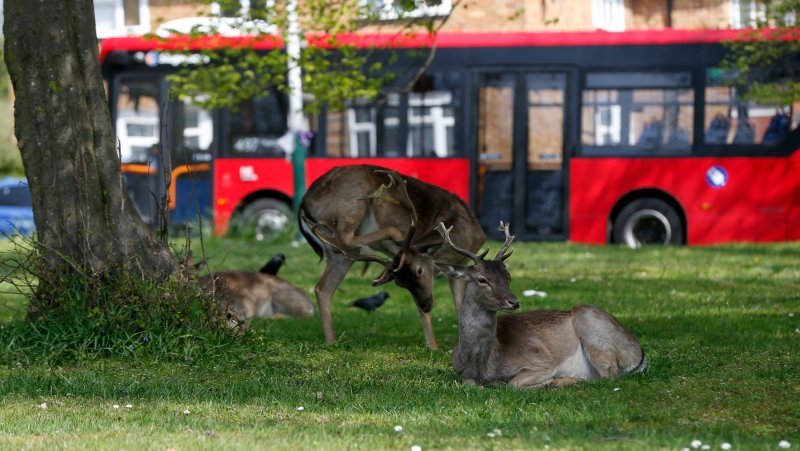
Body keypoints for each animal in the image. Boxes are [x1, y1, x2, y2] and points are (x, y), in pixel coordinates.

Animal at [300, 166, 484, 350]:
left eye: (420, 271)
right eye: (400, 283)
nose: (426, 305)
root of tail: (303, 203)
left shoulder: (460, 264)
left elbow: (459, 306)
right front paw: (432, 346)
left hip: (338, 252)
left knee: (323, 287)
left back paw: (331, 341)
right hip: (353, 200)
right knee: (346, 238)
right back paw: (394, 233)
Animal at [434, 222, 648, 388]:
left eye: (508, 277)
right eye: (482, 279)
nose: (514, 302)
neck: (481, 366)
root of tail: (640, 354)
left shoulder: (542, 360)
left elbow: (513, 384)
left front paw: (545, 381)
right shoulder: (460, 373)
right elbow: (468, 384)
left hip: (593, 328)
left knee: (608, 376)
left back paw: (561, 381)